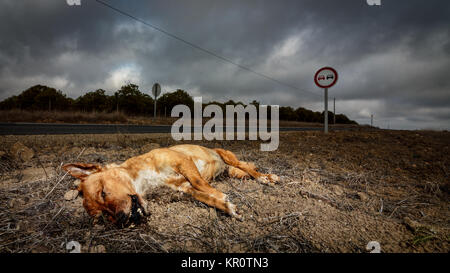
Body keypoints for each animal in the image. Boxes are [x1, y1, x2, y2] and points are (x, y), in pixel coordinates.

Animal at [62, 144, 278, 225]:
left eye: (103, 192)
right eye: (105, 217)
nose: (122, 219)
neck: (146, 181)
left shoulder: (183, 162)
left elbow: (203, 184)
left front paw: (221, 196)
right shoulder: (185, 189)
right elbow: (207, 197)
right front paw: (227, 207)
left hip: (228, 156)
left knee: (248, 168)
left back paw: (266, 177)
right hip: (230, 169)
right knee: (243, 171)